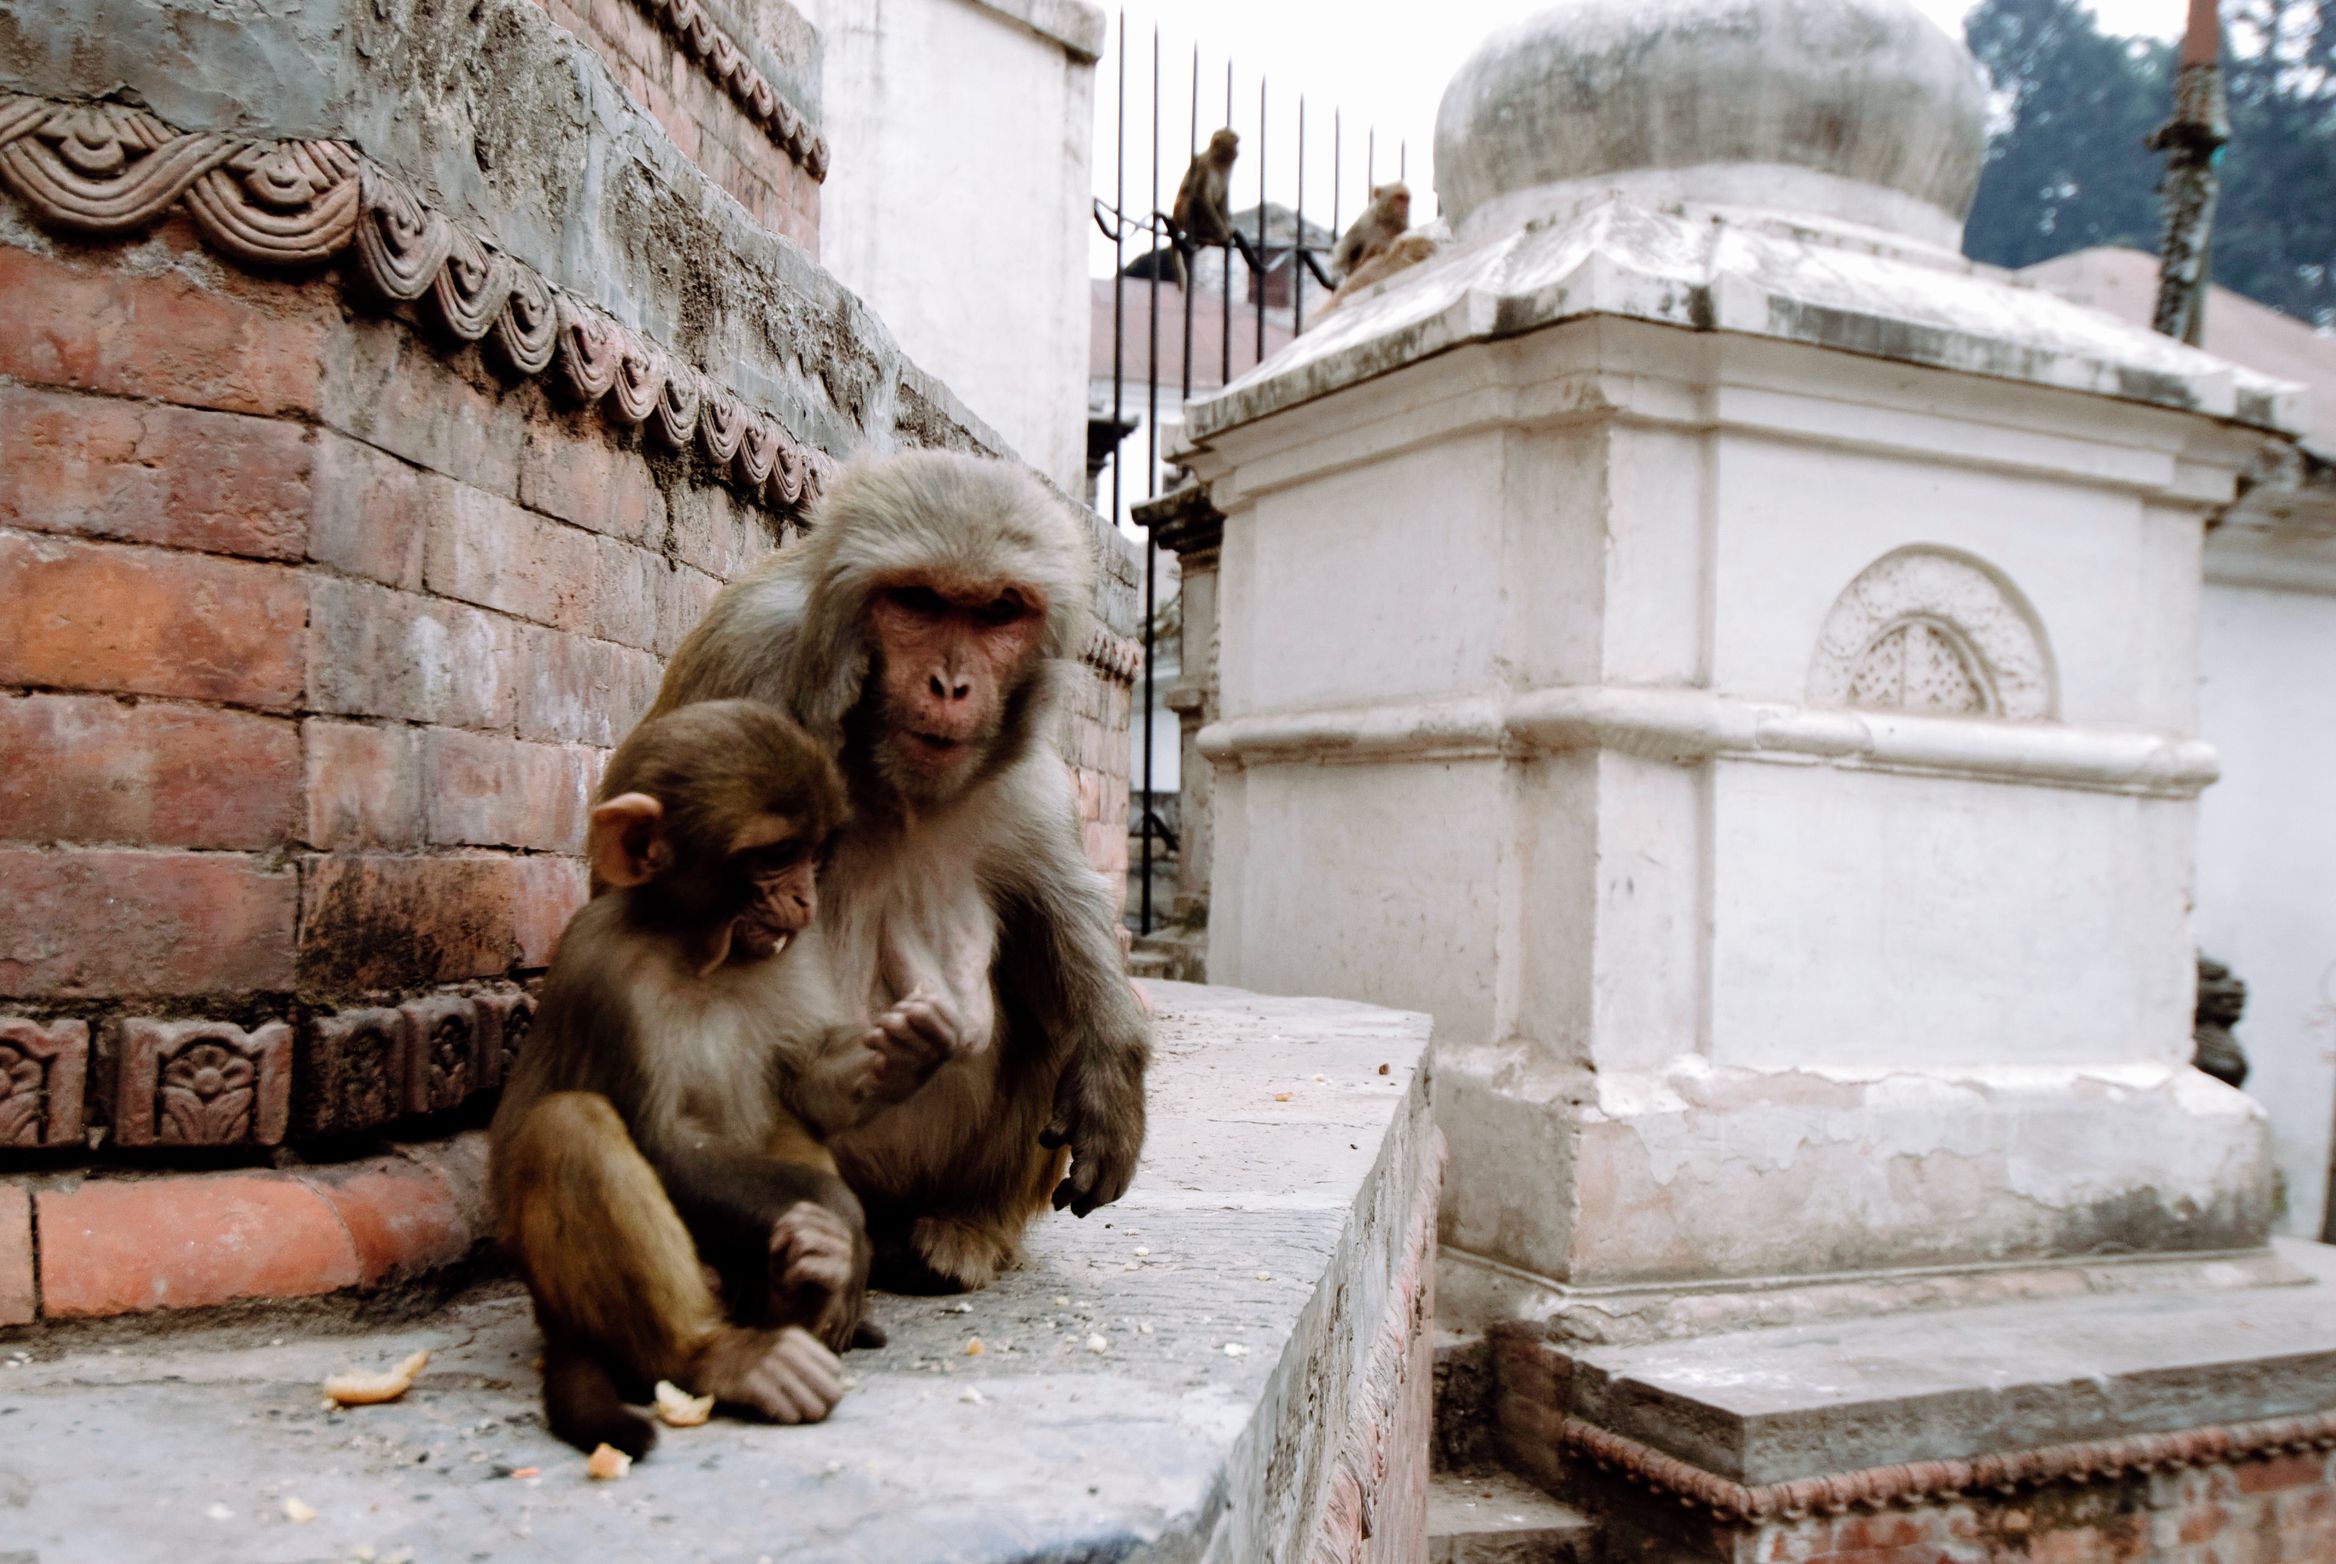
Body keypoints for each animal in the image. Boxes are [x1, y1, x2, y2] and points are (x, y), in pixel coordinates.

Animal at [492, 699, 968, 1458]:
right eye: (774, 856)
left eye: (811, 854)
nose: (805, 899)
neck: (697, 953)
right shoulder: (607, 981)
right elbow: (658, 1145)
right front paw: (846, 1220)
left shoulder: (790, 956)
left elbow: (807, 1085)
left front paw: (912, 1044)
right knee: (570, 1124)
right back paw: (723, 1355)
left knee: (781, 1116)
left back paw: (796, 1292)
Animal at [642, 450, 1153, 1293]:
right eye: (918, 601)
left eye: (999, 612)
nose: (951, 684)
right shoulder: (747, 654)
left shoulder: (1012, 756)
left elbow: (1057, 895)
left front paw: (1114, 1060)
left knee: (1045, 992)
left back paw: (961, 1229)